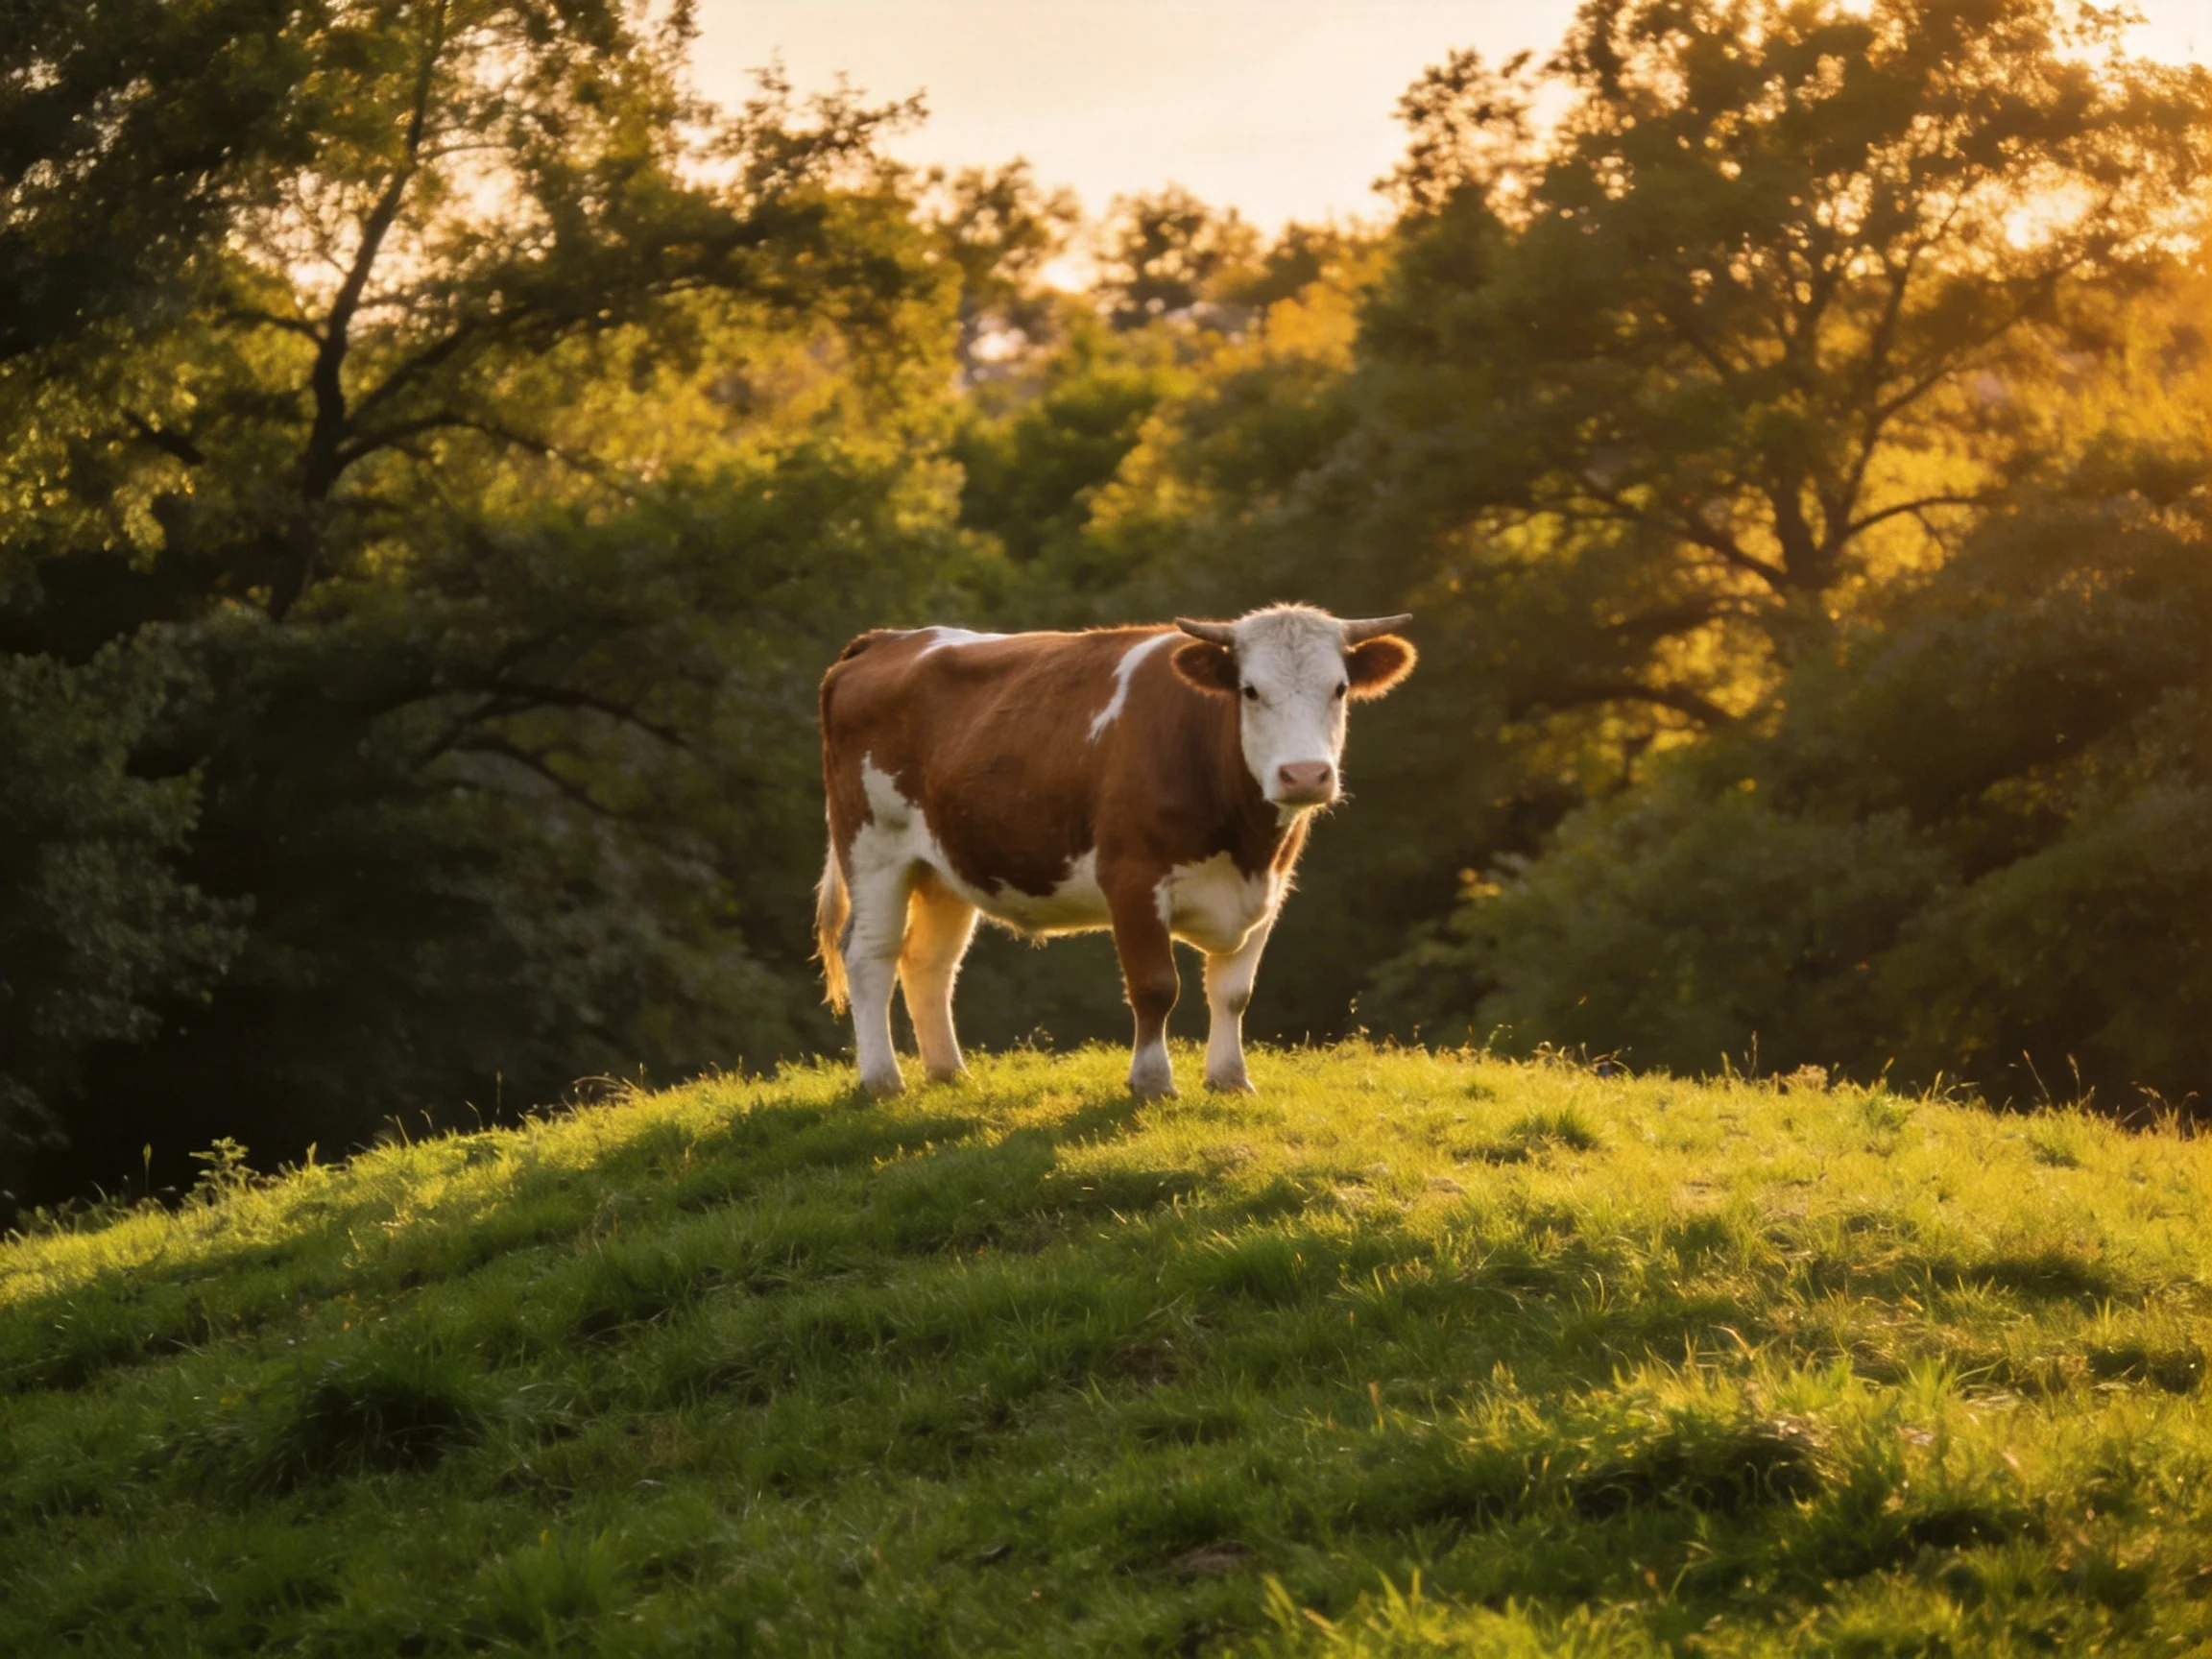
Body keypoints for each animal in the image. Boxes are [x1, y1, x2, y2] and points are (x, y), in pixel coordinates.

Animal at [814, 604, 1417, 1100]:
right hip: (873, 848)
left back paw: (949, 1073)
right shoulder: (1132, 879)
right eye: (1249, 690)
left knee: (929, 962)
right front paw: (1152, 1083)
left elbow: (1233, 992)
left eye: (1339, 688)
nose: (1305, 775)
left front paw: (1230, 1079)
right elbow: (1155, 987)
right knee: (870, 955)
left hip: (943, 865)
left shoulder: (1271, 885)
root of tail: (889, 639)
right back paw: (882, 1080)